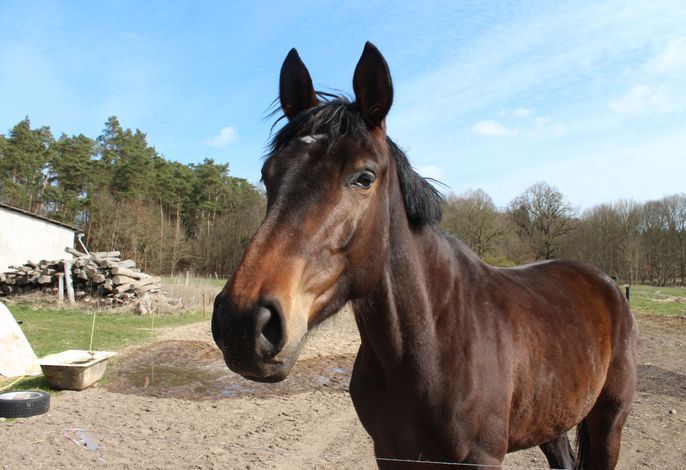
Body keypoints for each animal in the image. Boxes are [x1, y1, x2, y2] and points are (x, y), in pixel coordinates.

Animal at [212, 42, 638, 469]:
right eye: (268, 175)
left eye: (364, 178)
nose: (241, 322)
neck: (431, 341)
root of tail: (608, 285)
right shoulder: (389, 454)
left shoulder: (482, 457)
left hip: (608, 423)